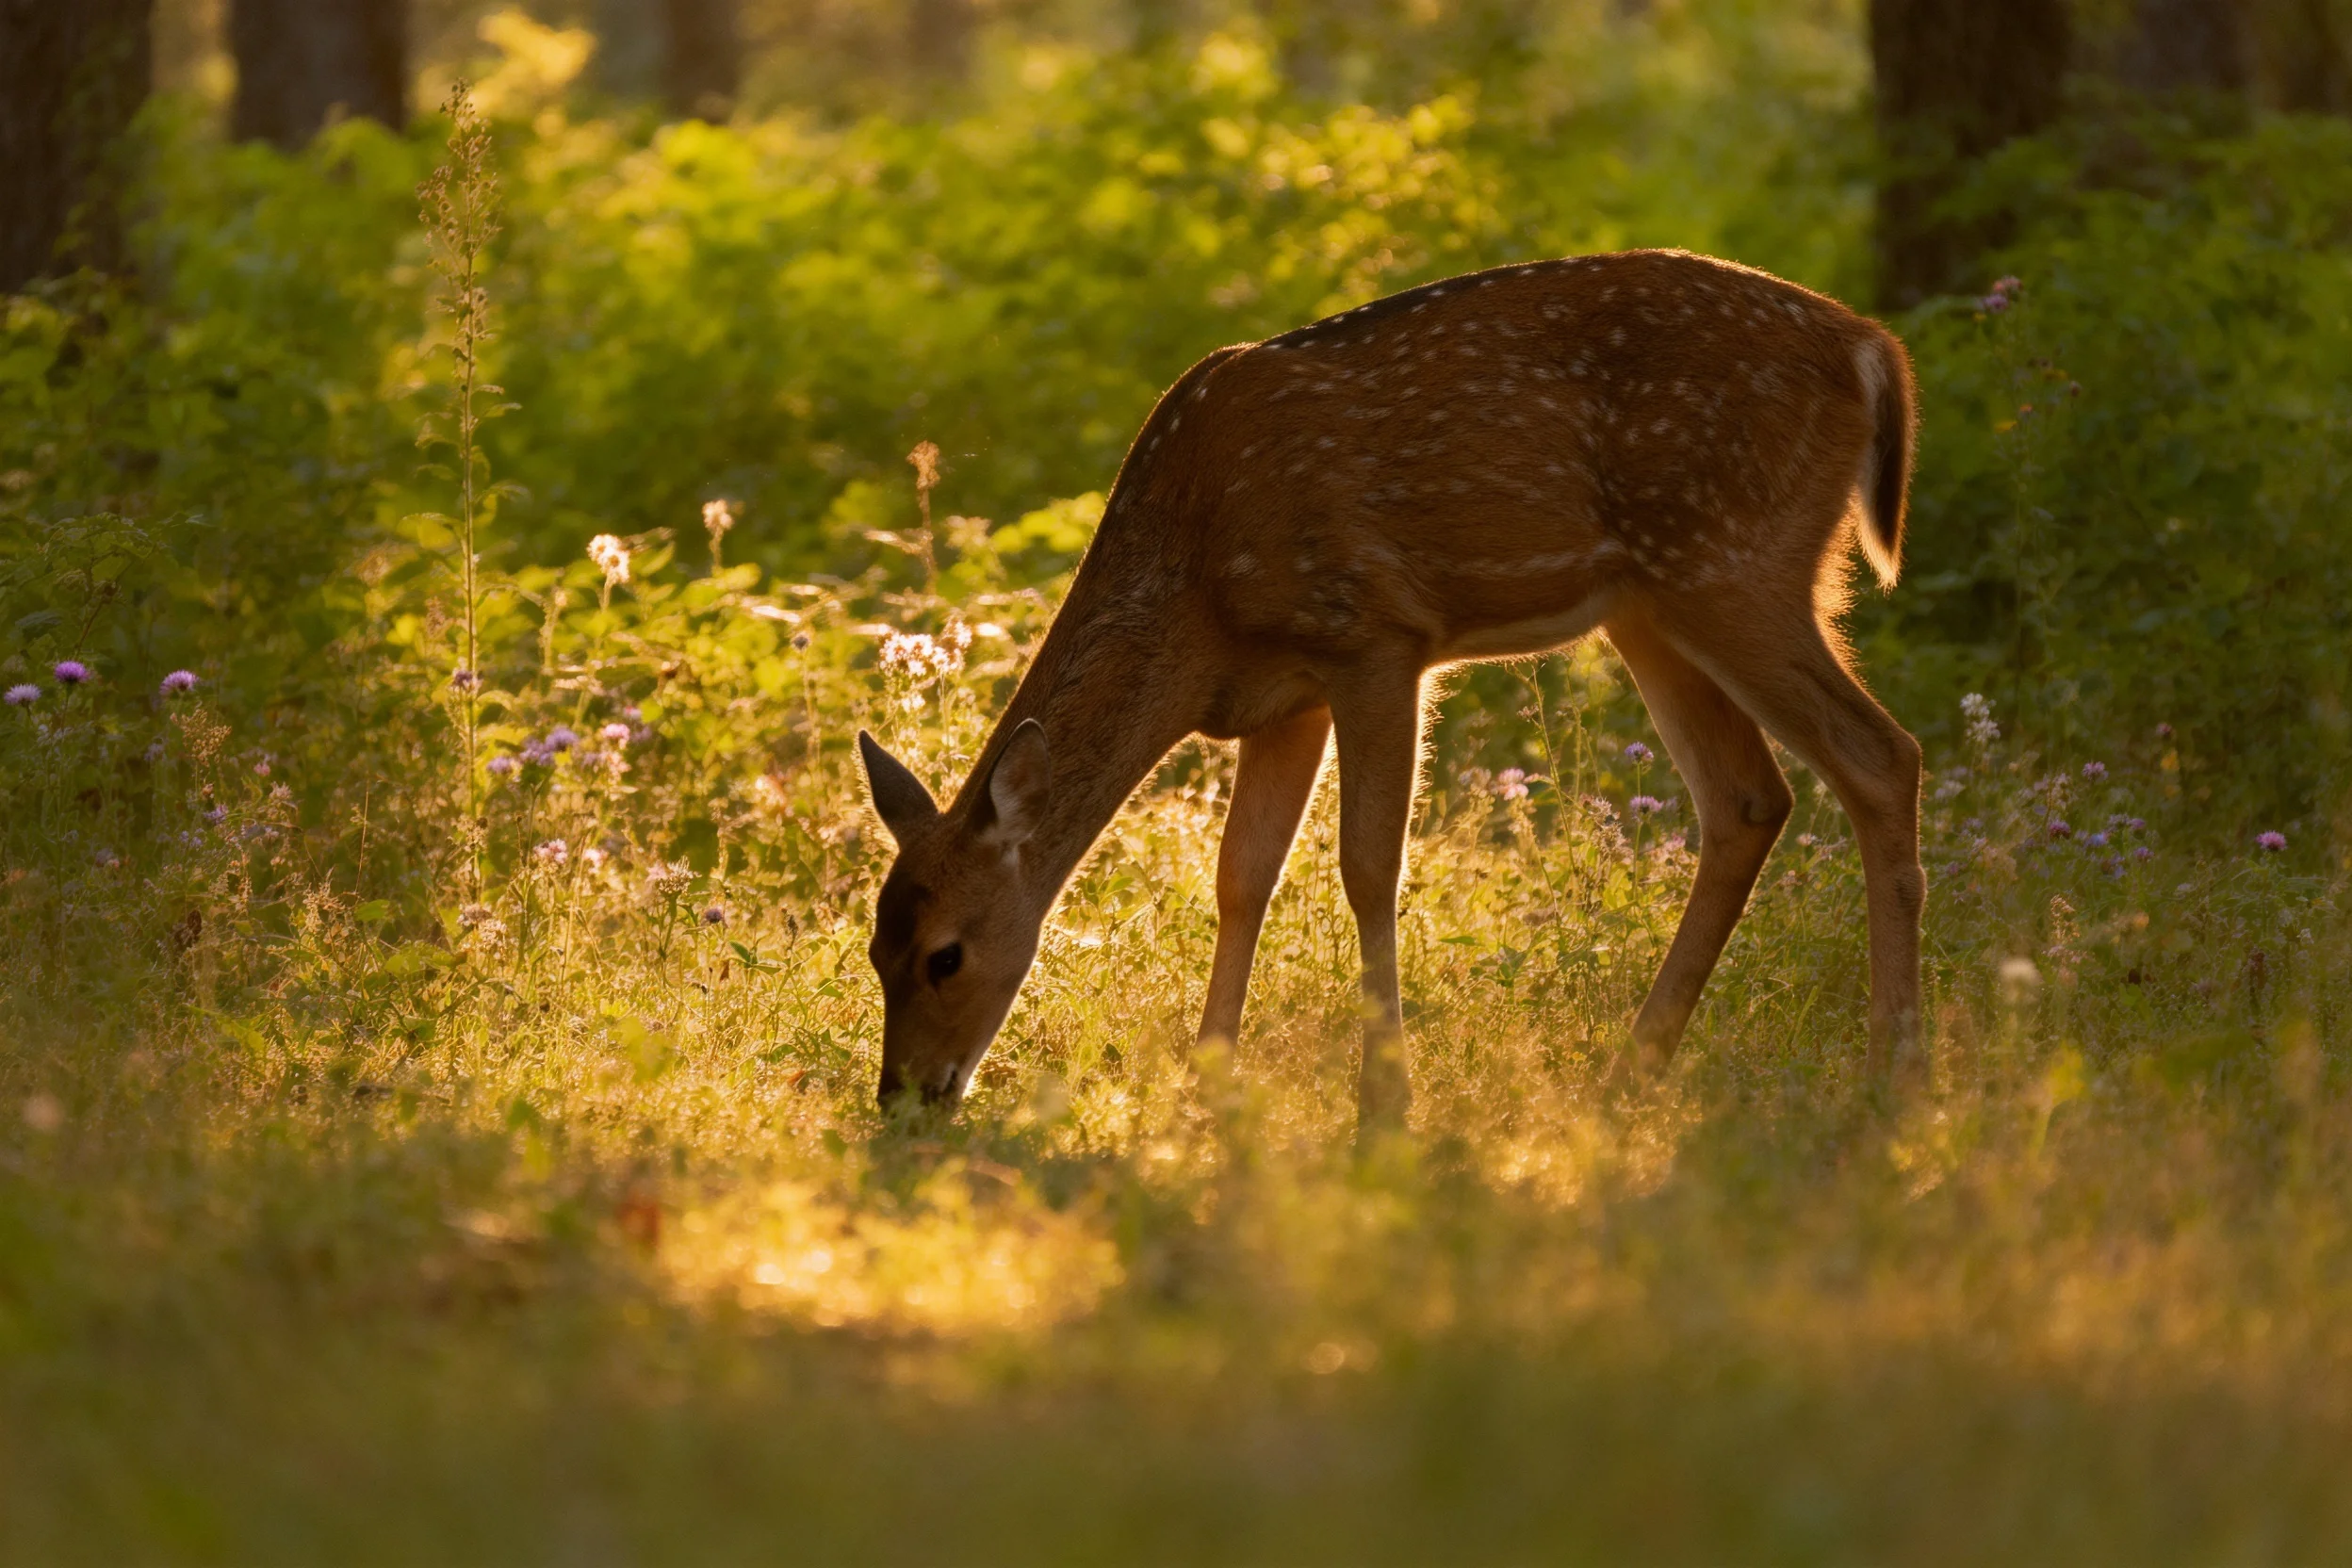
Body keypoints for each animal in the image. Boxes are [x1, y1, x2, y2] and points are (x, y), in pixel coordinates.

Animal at [857, 248, 1924, 1124]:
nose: (904, 1096)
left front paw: (1384, 1101)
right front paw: (1207, 1086)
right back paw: (1632, 1072)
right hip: (1655, 602)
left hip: (1733, 558)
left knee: (1882, 754)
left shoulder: (1372, 634)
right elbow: (1241, 875)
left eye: (945, 953)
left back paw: (1890, 1076)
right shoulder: (1281, 697)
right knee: (1750, 798)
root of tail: (1875, 349)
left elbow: (1368, 865)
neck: (1196, 596)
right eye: (874, 949)